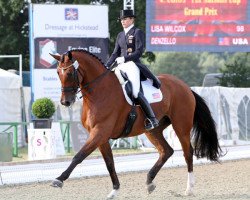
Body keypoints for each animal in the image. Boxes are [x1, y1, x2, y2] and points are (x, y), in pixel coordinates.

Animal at [49, 49, 222, 199]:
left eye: (70, 73)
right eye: (57, 73)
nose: (65, 102)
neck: (98, 91)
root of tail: (185, 86)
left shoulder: (100, 132)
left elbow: (79, 156)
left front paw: (59, 179)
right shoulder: (101, 136)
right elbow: (109, 163)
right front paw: (114, 191)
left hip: (181, 126)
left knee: (188, 153)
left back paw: (189, 189)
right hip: (152, 130)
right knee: (166, 151)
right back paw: (150, 182)